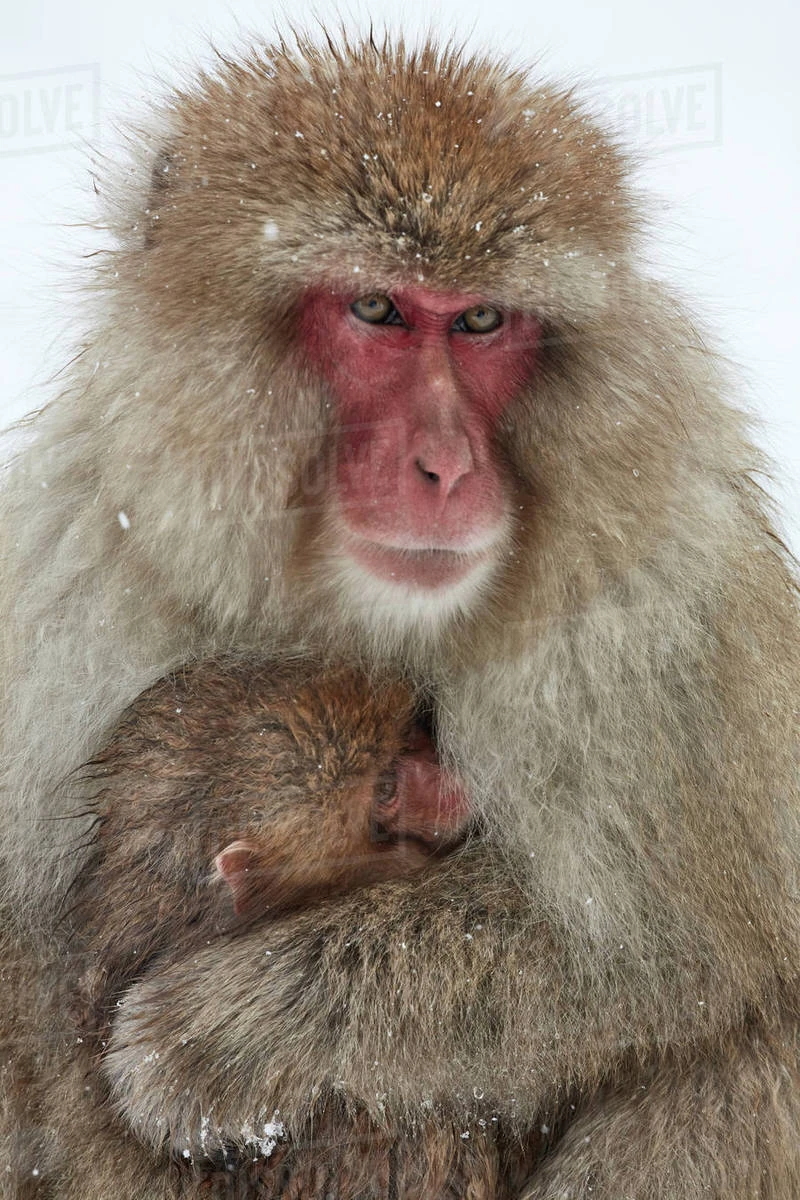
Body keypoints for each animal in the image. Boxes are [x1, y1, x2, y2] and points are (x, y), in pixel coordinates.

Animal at [1, 27, 799, 1200]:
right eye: (376, 309)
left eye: (480, 320)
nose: (445, 466)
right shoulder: (64, 564)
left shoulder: (661, 617)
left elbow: (673, 960)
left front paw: (220, 1036)